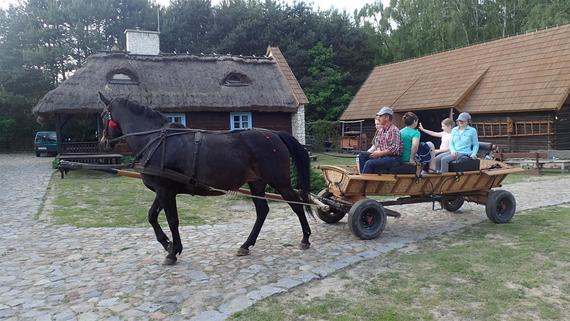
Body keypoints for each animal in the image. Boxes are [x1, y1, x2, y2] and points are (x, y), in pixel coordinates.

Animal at [96, 91, 310, 264]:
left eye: (103, 116)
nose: (103, 142)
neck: (154, 140)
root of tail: (275, 135)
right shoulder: (162, 190)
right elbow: (151, 216)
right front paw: (167, 243)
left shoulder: (165, 191)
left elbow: (172, 220)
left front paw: (173, 252)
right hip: (256, 182)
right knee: (262, 211)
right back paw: (246, 245)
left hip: (280, 182)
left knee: (297, 205)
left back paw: (306, 238)